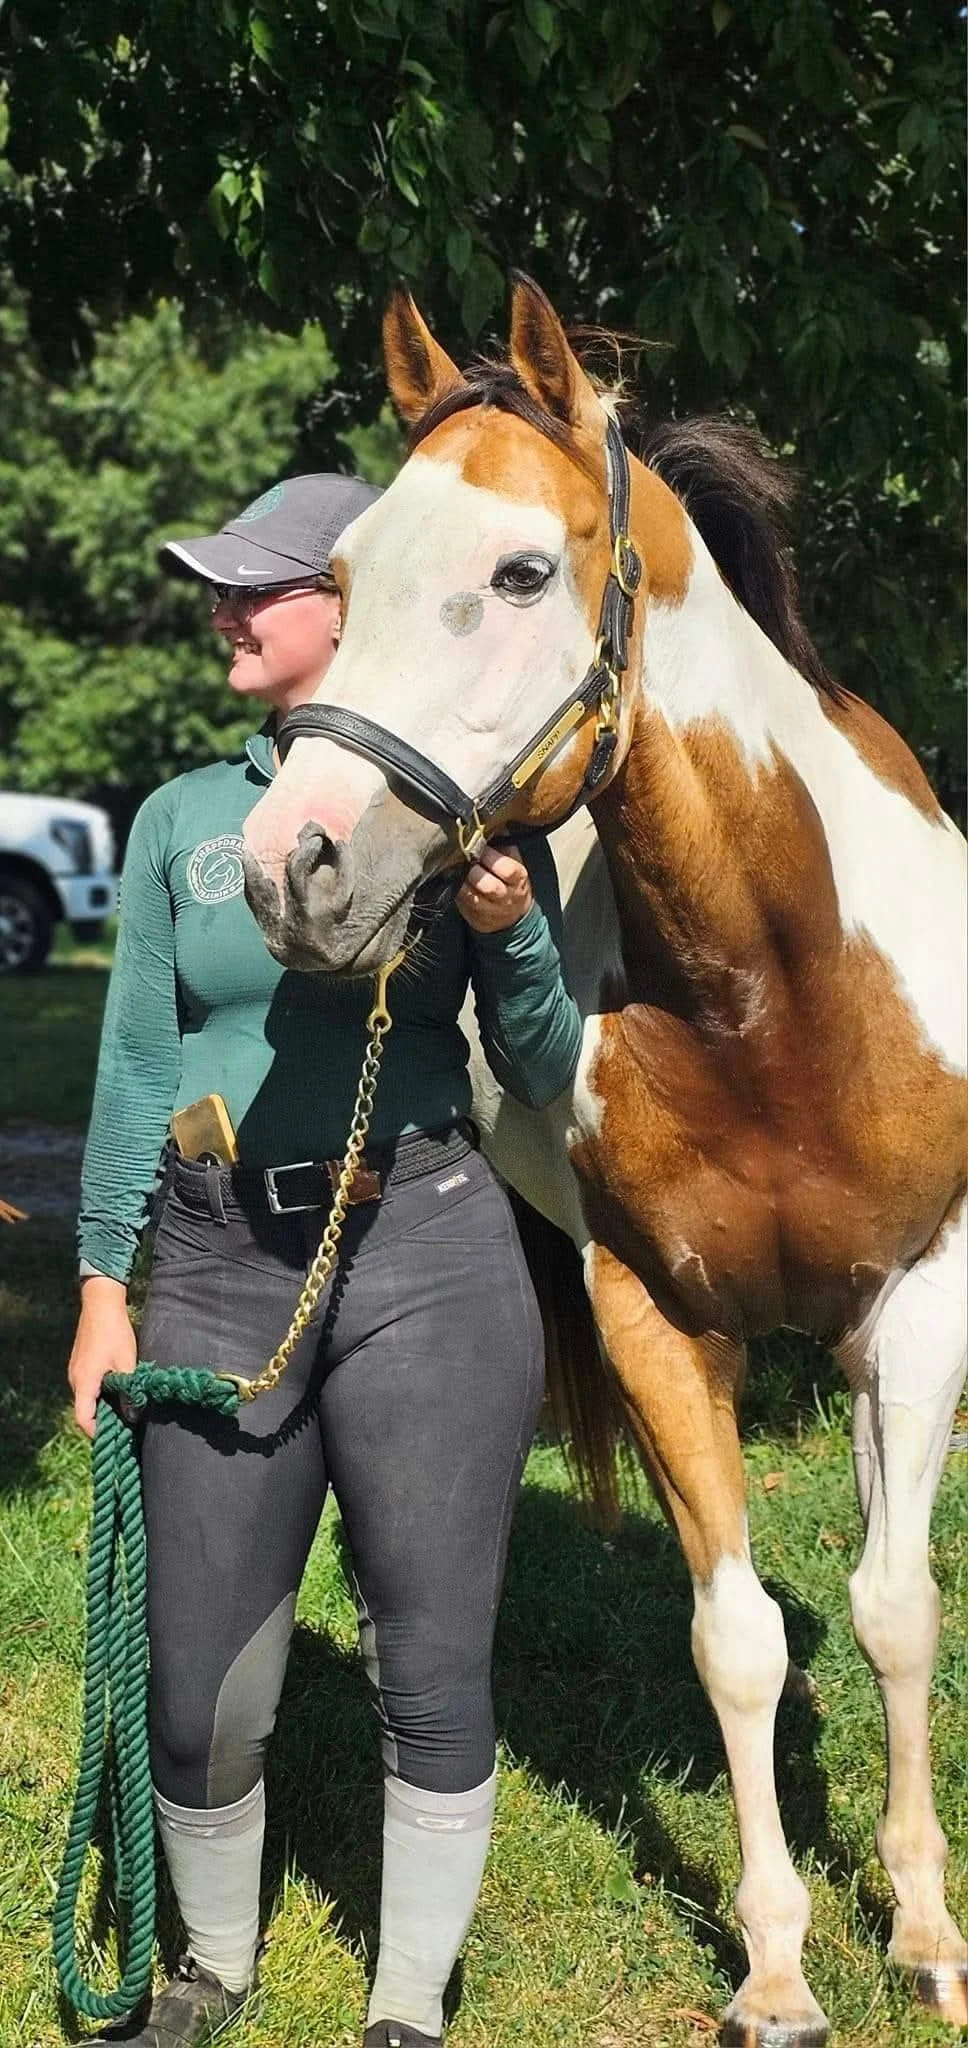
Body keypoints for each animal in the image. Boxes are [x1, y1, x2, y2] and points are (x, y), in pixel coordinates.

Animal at [240, 274, 967, 2047]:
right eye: (344, 577)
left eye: (518, 572)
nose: (293, 868)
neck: (779, 993)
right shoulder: (654, 1314)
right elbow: (741, 1645)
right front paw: (776, 1970)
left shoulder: (923, 1300)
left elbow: (897, 1611)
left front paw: (925, 1932)